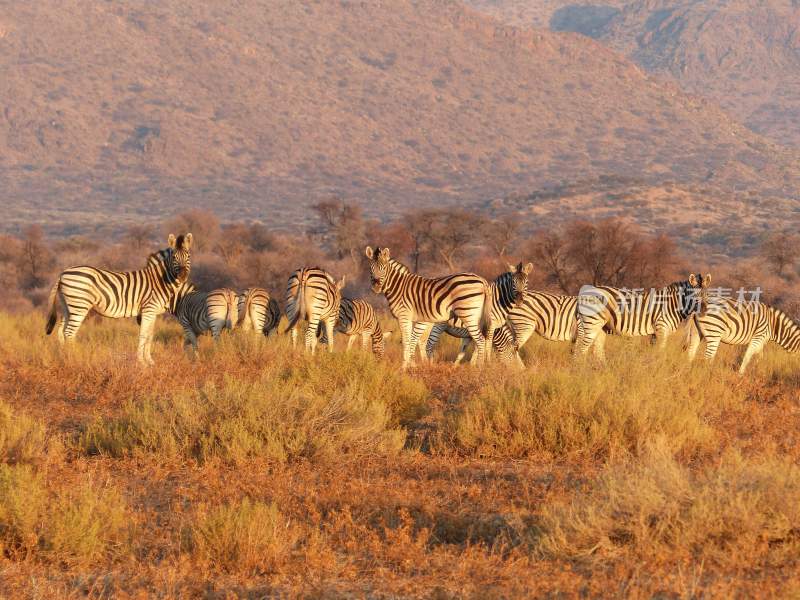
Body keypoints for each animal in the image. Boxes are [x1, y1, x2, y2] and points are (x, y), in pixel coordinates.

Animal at [45, 234, 194, 366]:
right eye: (174, 257)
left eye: (188, 256)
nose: (182, 276)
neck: (160, 281)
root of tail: (63, 273)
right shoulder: (148, 310)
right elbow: (143, 335)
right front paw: (142, 362)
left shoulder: (153, 313)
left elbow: (150, 335)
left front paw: (150, 361)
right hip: (79, 305)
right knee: (69, 333)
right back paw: (74, 360)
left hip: (68, 306)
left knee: (61, 331)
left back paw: (64, 359)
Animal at [364, 246, 494, 368]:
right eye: (371, 269)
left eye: (384, 268)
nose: (376, 287)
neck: (399, 287)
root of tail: (482, 280)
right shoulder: (410, 318)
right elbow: (411, 340)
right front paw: (411, 365)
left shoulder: (403, 316)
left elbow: (406, 341)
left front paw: (404, 367)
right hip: (476, 316)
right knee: (482, 339)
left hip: (468, 314)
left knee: (480, 340)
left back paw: (480, 368)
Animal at [572, 274, 708, 358]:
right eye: (694, 294)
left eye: (707, 294)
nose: (704, 311)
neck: (672, 304)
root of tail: (584, 293)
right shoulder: (661, 328)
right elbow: (661, 352)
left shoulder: (655, 332)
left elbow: (654, 352)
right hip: (592, 323)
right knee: (581, 350)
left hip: (600, 326)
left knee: (596, 349)